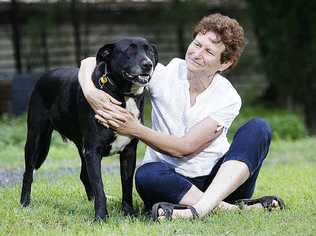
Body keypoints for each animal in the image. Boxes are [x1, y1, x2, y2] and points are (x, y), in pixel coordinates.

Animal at [20, 37, 158, 219]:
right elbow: (99, 186)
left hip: (81, 147)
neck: (122, 93)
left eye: (149, 50)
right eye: (129, 50)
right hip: (36, 138)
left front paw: (128, 213)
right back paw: (24, 203)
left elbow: (126, 187)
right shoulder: (93, 151)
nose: (148, 64)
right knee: (28, 173)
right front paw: (100, 217)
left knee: (83, 175)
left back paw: (90, 201)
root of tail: (45, 74)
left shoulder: (128, 152)